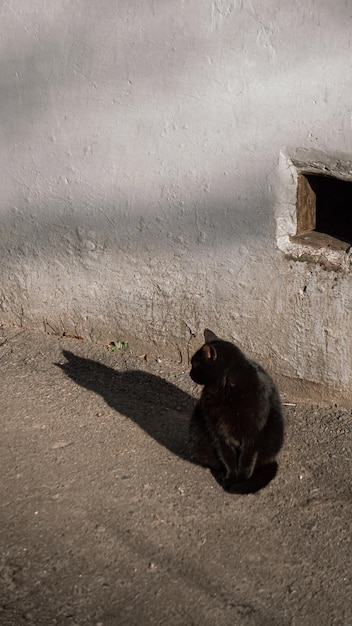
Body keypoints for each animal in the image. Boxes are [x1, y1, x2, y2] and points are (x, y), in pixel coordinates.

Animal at [188, 330, 284, 490]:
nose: (189, 373)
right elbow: (228, 457)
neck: (227, 389)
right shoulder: (219, 433)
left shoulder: (253, 434)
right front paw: (231, 477)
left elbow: (246, 460)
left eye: (194, 364)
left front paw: (242, 480)